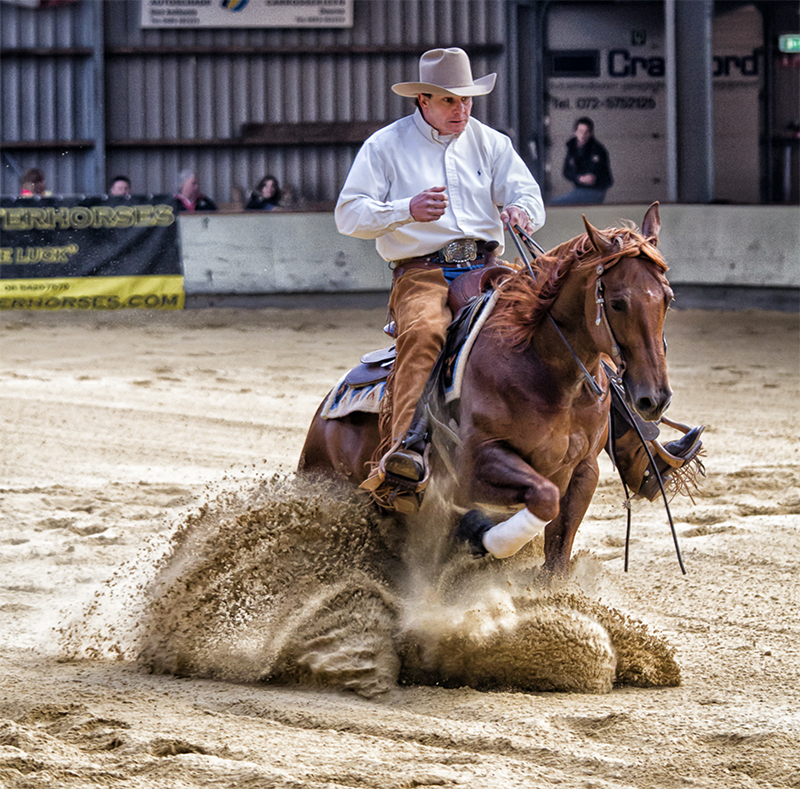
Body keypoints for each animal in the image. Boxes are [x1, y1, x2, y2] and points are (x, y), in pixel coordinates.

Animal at [299, 203, 673, 574]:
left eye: (667, 298)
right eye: (617, 302)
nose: (654, 398)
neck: (545, 370)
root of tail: (322, 418)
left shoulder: (584, 472)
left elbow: (556, 557)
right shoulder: (472, 468)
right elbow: (543, 497)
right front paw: (480, 536)